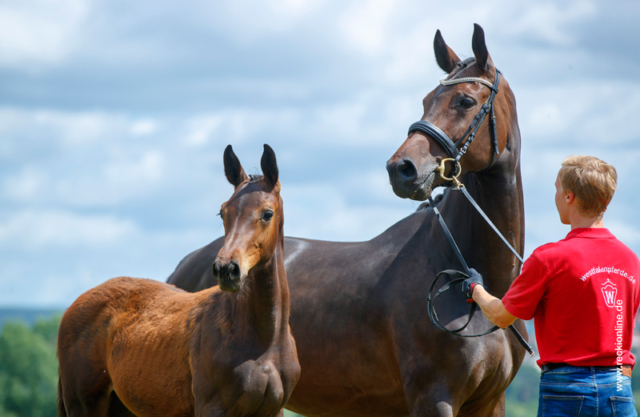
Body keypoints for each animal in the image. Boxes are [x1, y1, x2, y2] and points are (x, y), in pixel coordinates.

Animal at [57, 144, 298, 416]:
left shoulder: (273, 410)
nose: (226, 269)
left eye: (267, 213)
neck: (263, 342)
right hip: (83, 404)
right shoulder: (212, 408)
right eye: (222, 212)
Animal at [169, 26, 524, 416]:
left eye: (465, 101)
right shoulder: (434, 397)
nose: (401, 168)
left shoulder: (490, 401)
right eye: (426, 100)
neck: (475, 281)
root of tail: (184, 265)